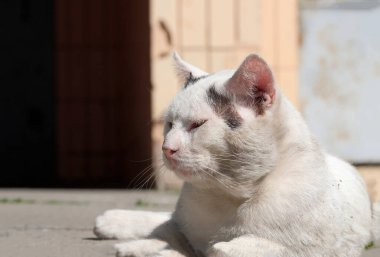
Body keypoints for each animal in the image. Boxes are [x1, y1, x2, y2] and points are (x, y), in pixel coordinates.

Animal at [93, 52, 380, 256]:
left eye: (197, 125)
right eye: (169, 124)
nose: (167, 147)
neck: (228, 195)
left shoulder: (312, 250)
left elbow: (225, 249)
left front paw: (161, 251)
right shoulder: (185, 224)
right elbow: (171, 232)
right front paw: (142, 245)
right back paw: (114, 223)